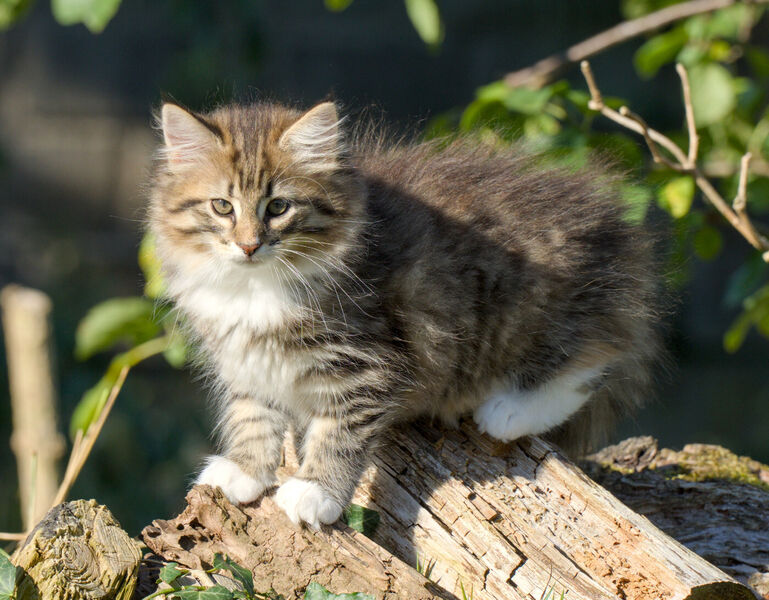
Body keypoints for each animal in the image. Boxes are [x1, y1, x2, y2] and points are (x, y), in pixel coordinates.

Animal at [150, 101, 660, 528]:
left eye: (278, 207)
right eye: (222, 206)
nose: (249, 245)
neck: (255, 289)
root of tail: (616, 230)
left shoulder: (366, 361)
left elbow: (339, 432)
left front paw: (317, 492)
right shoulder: (245, 360)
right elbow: (253, 416)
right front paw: (246, 471)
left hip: (532, 311)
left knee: (594, 359)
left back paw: (509, 410)